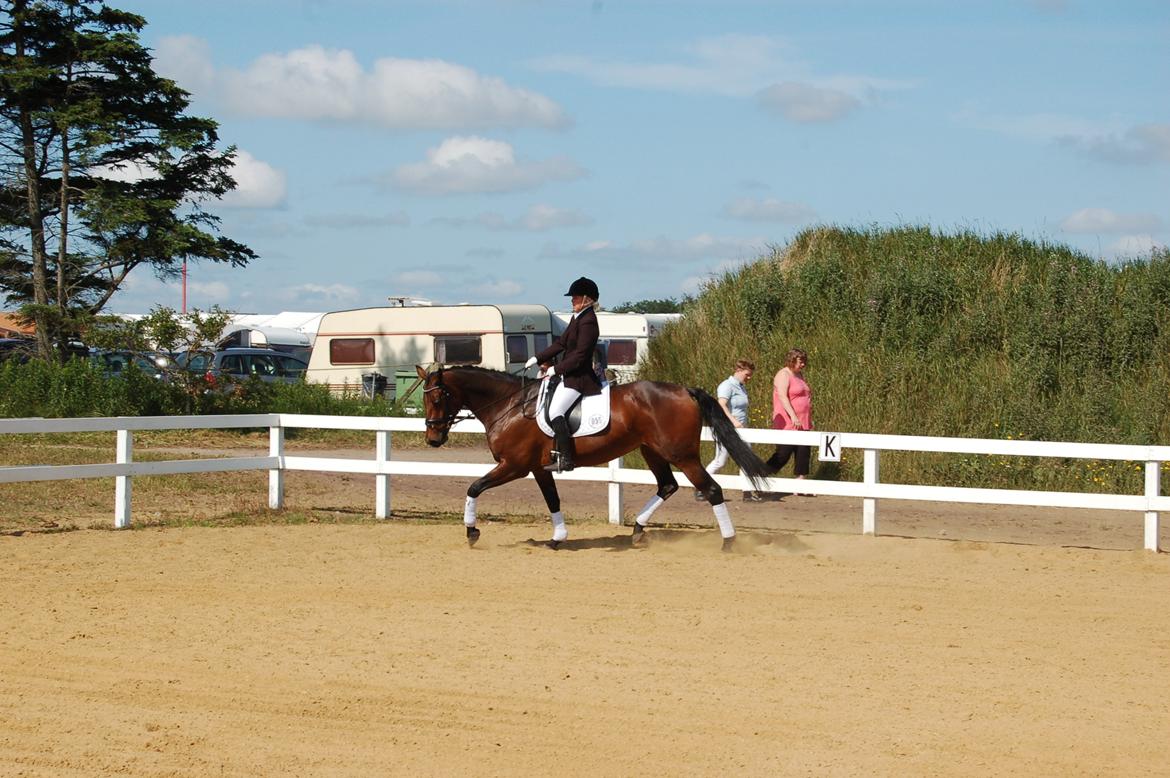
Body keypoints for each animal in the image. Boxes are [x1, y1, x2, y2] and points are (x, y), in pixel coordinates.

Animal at [416, 360, 772, 549]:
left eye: (437, 398)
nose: (433, 438)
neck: (510, 405)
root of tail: (685, 390)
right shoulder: (538, 468)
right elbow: (552, 500)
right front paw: (558, 537)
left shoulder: (513, 466)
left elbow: (473, 487)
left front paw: (472, 532)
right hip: (652, 450)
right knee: (667, 486)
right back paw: (638, 531)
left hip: (681, 454)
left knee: (711, 489)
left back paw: (728, 543)